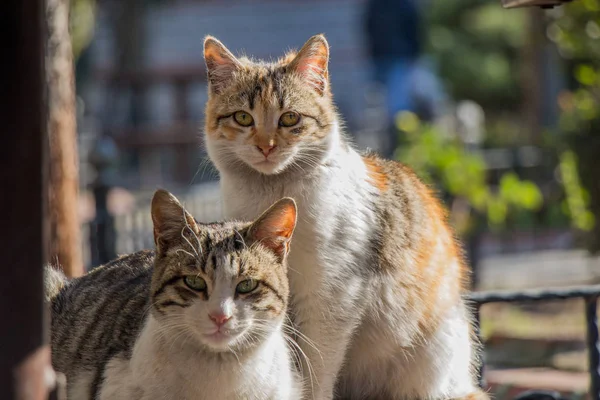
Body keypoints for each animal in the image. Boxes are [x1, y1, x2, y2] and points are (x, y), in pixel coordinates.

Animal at [204, 35, 490, 400]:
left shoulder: (331, 297)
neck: (272, 191)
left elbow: (316, 368)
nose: (266, 146)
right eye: (242, 118)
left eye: (289, 119)